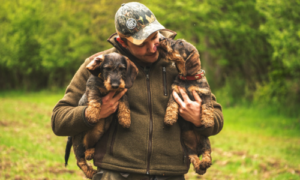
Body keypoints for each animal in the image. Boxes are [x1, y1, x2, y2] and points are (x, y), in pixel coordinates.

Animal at [158, 37, 214, 174]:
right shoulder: (175, 92)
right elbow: (171, 106)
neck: (187, 79)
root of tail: (197, 149)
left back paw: (205, 163)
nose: (161, 38)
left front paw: (208, 121)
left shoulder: (205, 94)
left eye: (180, 43)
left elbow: (207, 108)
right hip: (189, 151)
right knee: (194, 159)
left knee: (207, 154)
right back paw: (200, 167)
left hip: (206, 141)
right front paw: (169, 118)